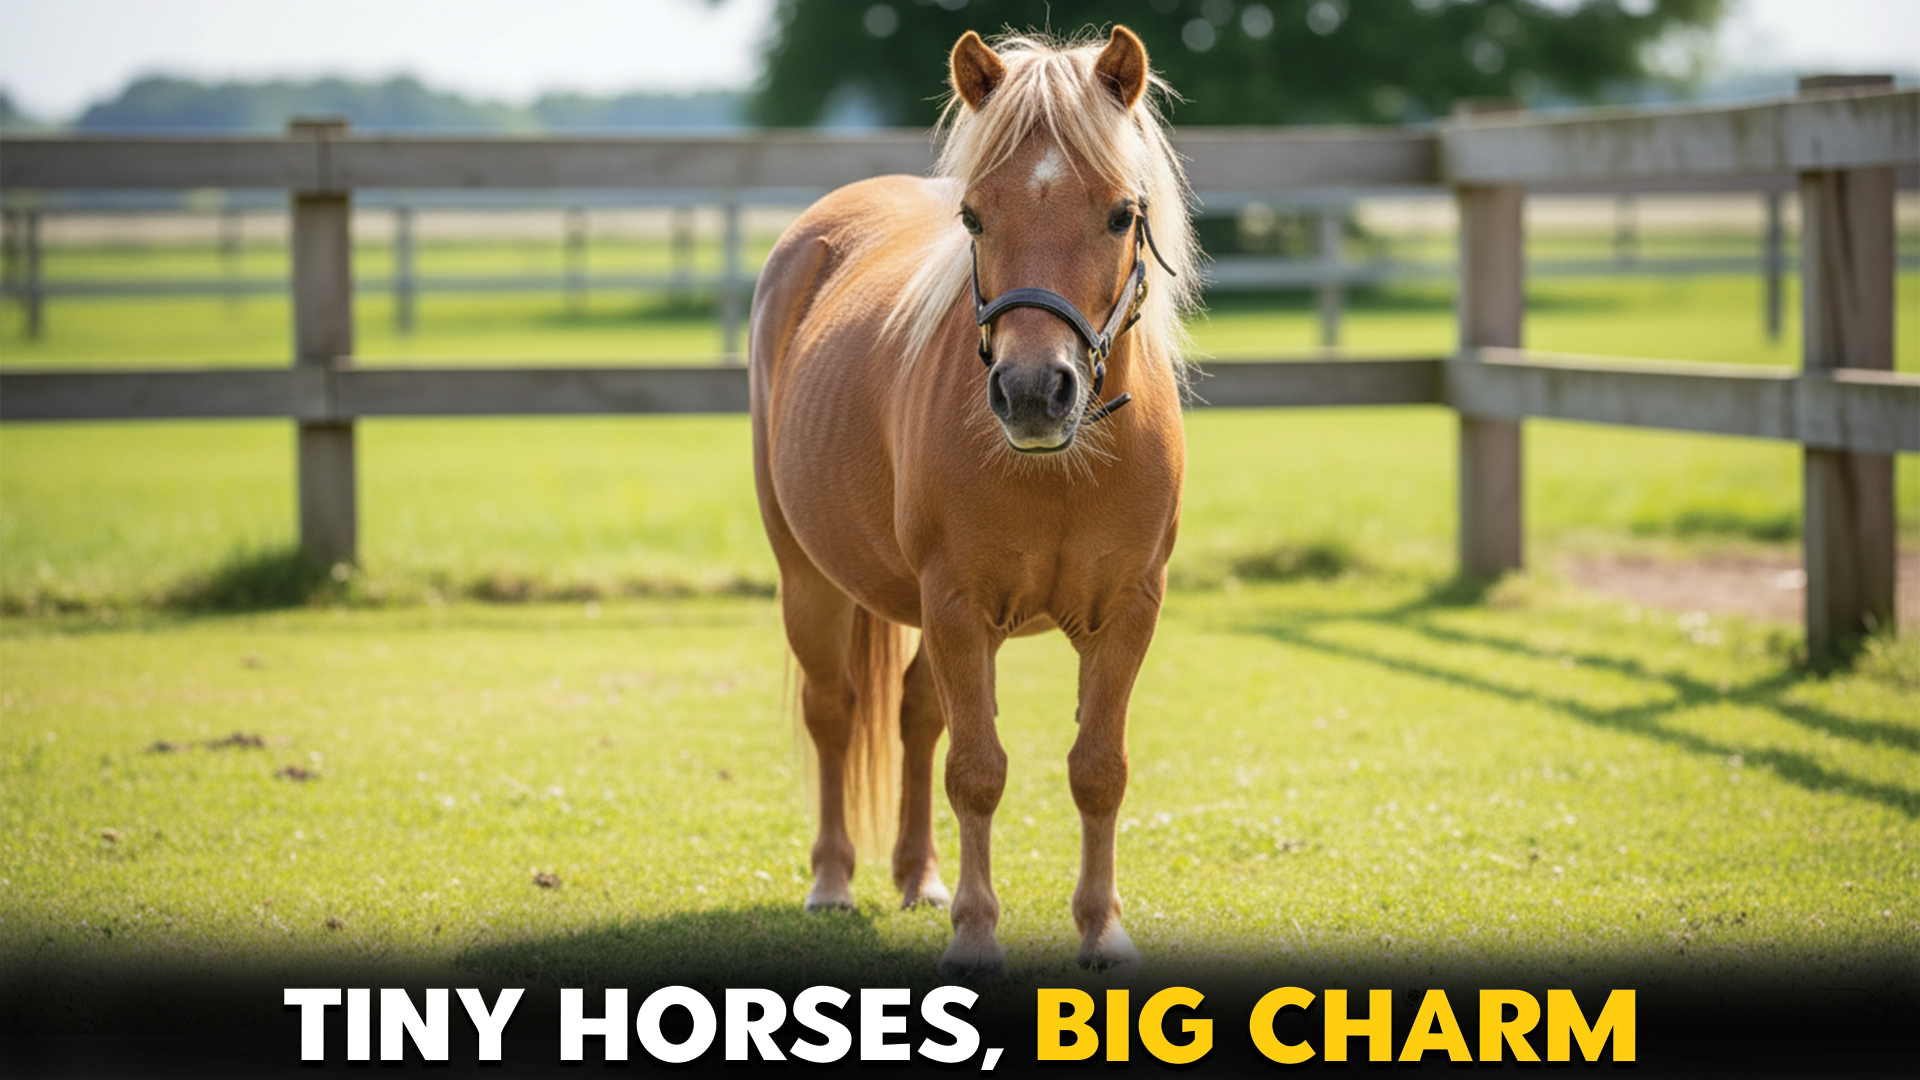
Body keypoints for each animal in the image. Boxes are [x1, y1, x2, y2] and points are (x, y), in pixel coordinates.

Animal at [748, 26, 1197, 978]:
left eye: (1121, 214)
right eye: (974, 218)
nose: (1033, 392)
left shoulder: (1128, 609)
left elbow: (1097, 768)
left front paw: (1101, 931)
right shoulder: (956, 605)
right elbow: (978, 771)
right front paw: (976, 935)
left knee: (916, 711)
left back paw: (919, 877)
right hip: (809, 581)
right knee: (834, 711)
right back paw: (833, 882)